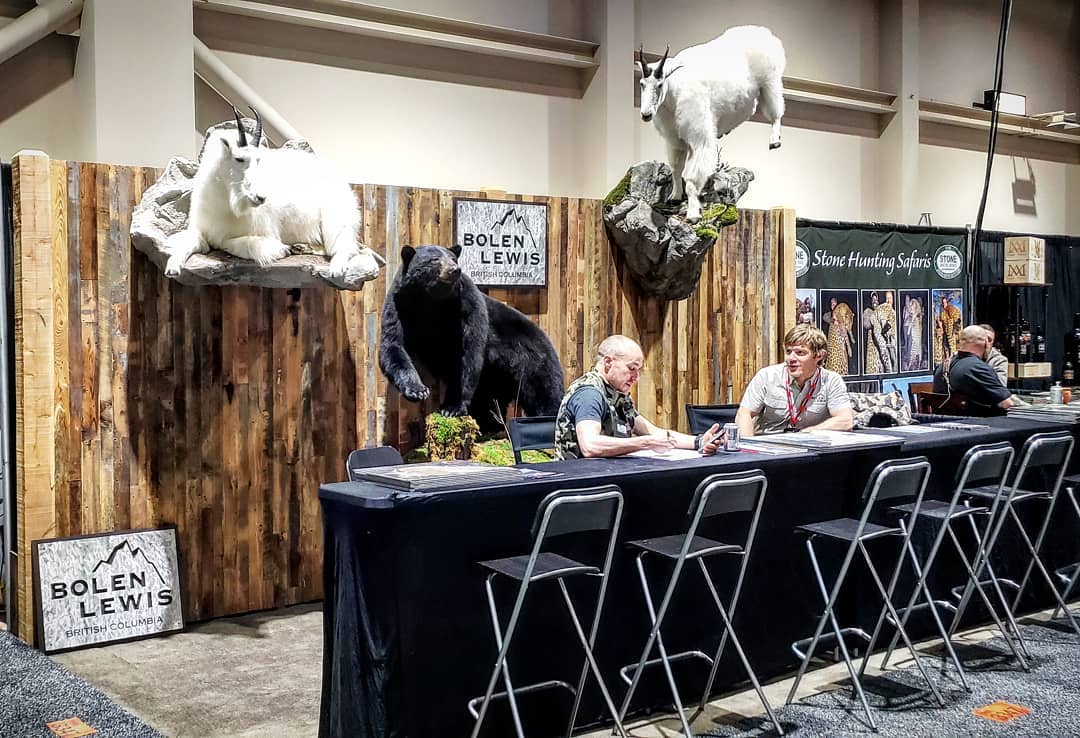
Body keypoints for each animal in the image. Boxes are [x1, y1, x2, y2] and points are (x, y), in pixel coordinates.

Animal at [164, 108, 384, 280]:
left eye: (259, 160)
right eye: (239, 158)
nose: (261, 197)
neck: (226, 202)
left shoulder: (258, 232)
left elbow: (229, 243)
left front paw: (281, 249)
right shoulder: (201, 230)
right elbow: (187, 243)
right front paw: (172, 268)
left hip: (336, 218)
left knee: (344, 247)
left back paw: (335, 269)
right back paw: (301, 247)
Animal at [635, 26, 790, 222]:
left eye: (660, 84)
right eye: (641, 83)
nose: (646, 114)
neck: (674, 94)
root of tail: (766, 33)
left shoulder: (699, 138)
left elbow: (692, 180)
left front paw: (693, 214)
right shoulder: (675, 140)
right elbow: (676, 169)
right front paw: (675, 196)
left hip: (770, 83)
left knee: (776, 112)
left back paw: (774, 140)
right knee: (751, 107)